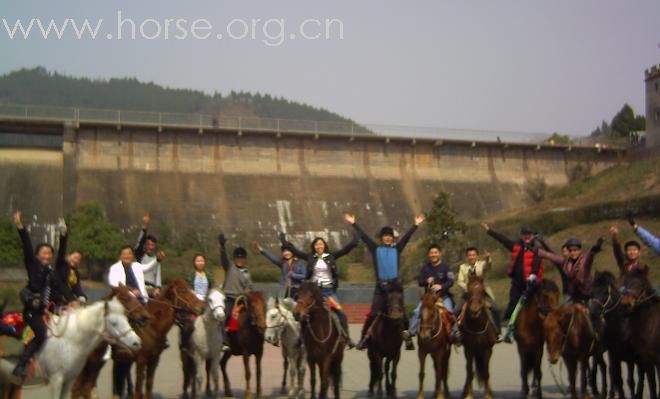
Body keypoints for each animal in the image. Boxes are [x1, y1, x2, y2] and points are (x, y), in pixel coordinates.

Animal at [0, 296, 139, 399]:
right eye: (114, 323)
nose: (136, 342)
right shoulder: (56, 380)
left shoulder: (69, 381)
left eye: (126, 319)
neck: (70, 341)